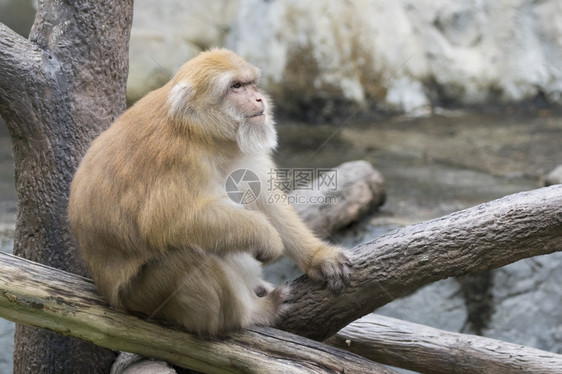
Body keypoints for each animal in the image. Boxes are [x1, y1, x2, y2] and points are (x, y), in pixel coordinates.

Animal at [68, 47, 350, 336]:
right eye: (236, 87)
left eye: (251, 83)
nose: (259, 98)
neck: (203, 133)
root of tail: (110, 295)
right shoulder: (180, 158)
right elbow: (164, 222)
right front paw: (265, 236)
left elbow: (264, 199)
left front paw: (319, 257)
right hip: (143, 296)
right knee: (187, 256)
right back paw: (251, 313)